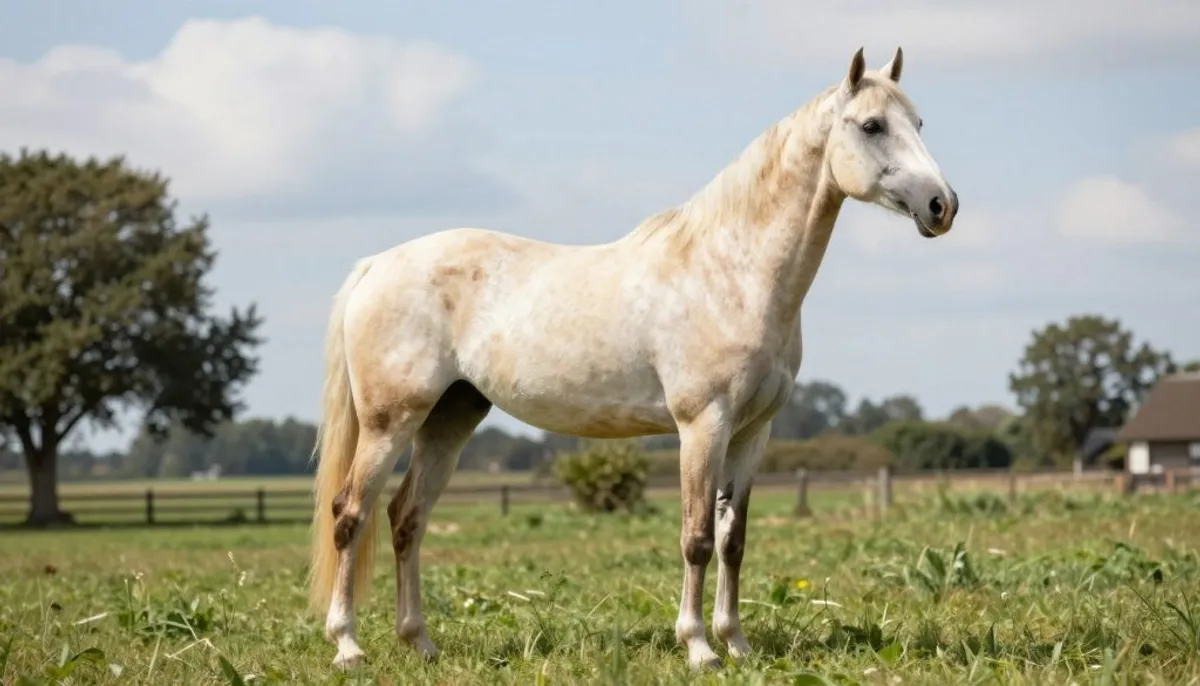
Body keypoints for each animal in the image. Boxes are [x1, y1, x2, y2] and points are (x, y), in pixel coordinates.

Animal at [307, 46, 958, 671]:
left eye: (920, 122)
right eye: (872, 125)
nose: (942, 205)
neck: (732, 271)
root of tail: (377, 265)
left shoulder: (754, 433)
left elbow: (733, 540)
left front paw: (738, 644)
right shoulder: (703, 424)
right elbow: (696, 537)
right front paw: (698, 648)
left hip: (451, 417)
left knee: (406, 518)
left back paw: (420, 643)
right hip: (391, 421)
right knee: (351, 513)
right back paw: (348, 646)